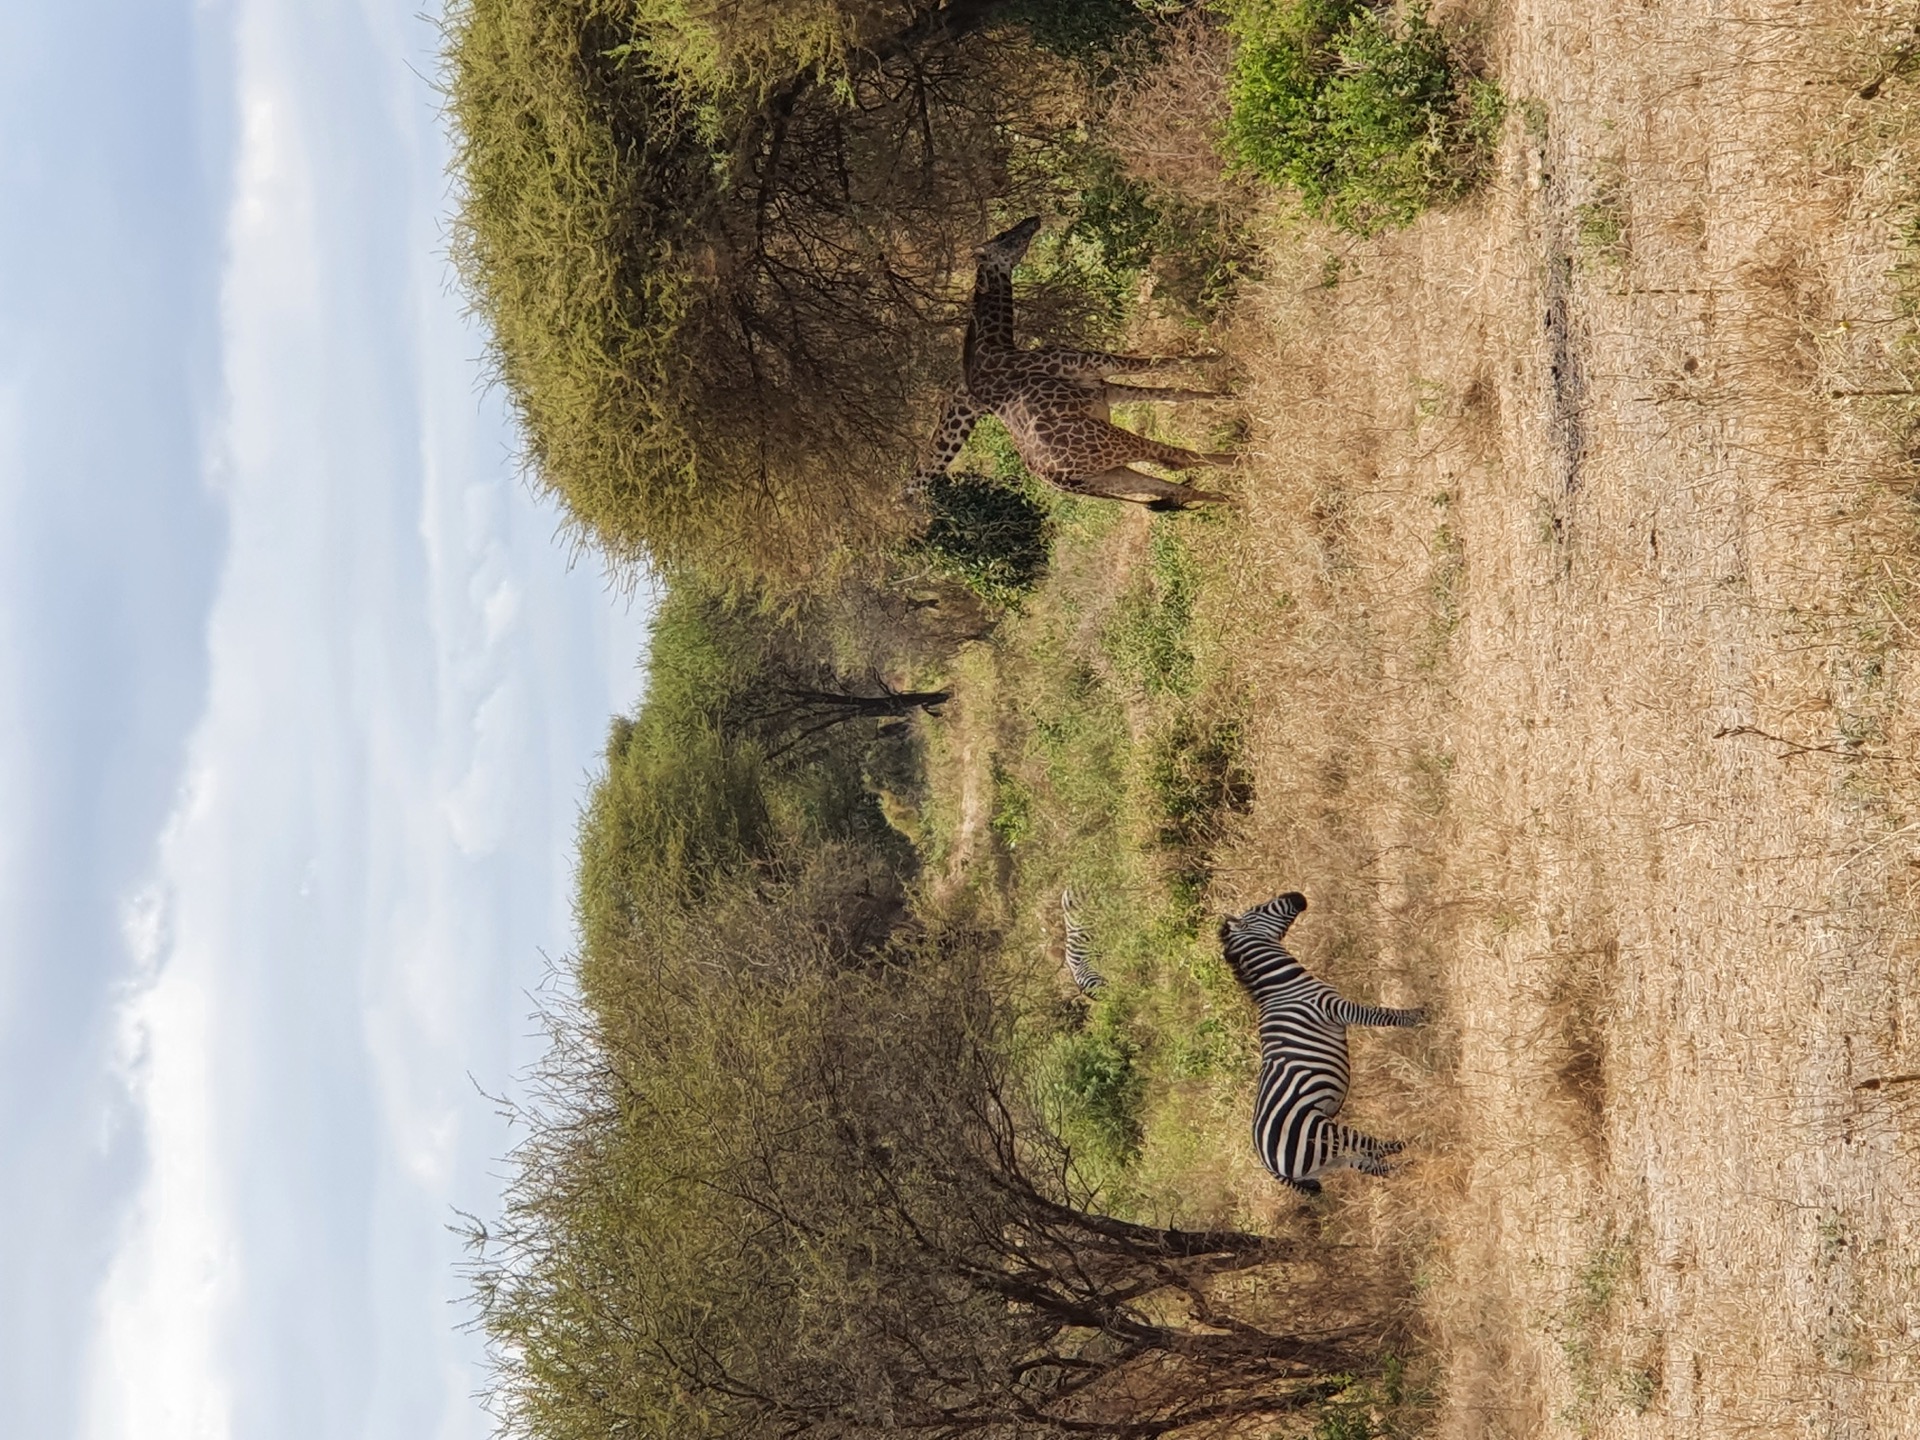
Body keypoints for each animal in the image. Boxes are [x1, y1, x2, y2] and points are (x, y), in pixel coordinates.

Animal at [911, 216, 1237, 509]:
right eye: (1003, 236)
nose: (1033, 219)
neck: (998, 346)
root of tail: (1058, 478)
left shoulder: (1103, 388)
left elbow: (1172, 393)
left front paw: (1226, 393)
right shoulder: (1096, 363)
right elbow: (1160, 364)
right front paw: (1220, 361)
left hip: (1108, 476)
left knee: (1173, 486)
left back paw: (1231, 500)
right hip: (1111, 445)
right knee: (1174, 458)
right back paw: (1240, 461)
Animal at [1220, 891, 1426, 1195]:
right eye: (1258, 909)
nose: (1297, 895)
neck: (1281, 987)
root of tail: (1268, 1164)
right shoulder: (1333, 1008)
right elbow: (1381, 1015)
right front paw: (1421, 1016)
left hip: (1328, 1161)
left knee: (1372, 1163)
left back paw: (1409, 1167)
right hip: (1322, 1135)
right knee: (1371, 1147)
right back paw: (1417, 1142)